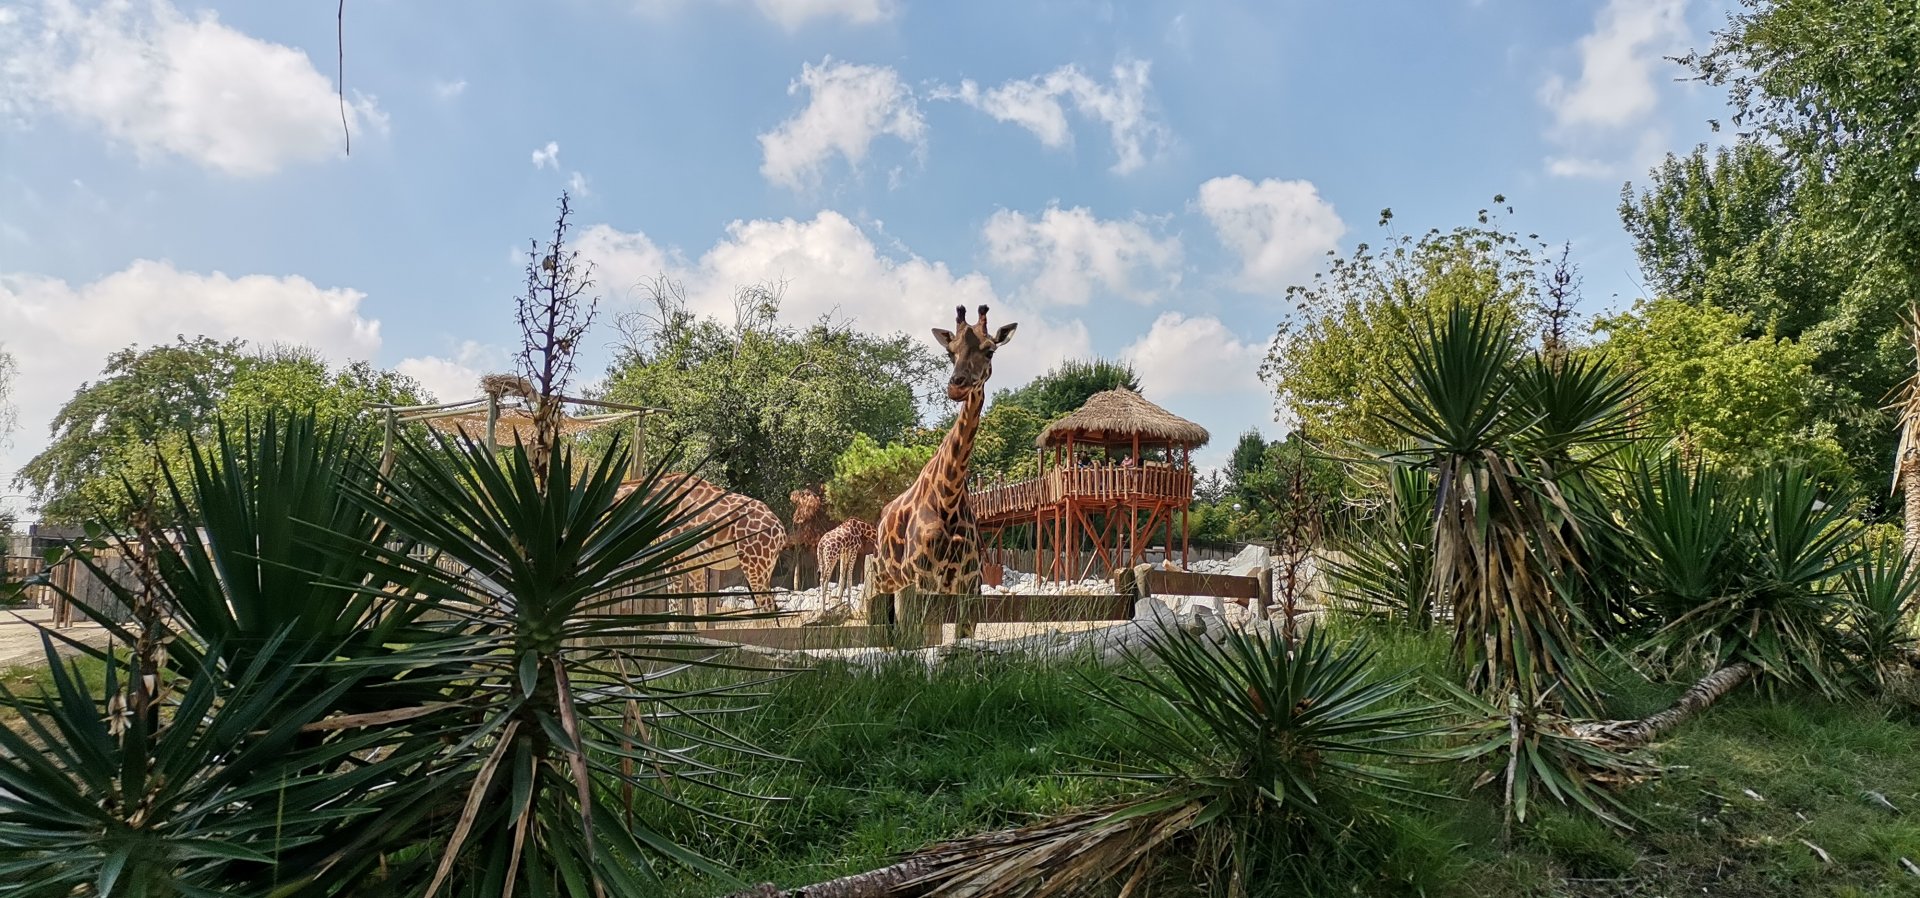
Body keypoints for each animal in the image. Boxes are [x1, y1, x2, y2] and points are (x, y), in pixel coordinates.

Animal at [616, 473, 787, 613]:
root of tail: (780, 529)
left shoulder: (673, 560)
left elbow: (675, 608)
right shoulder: (695, 565)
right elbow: (700, 610)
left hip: (754, 566)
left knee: (767, 608)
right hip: (765, 568)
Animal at [872, 305, 1017, 601]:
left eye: (990, 350)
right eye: (950, 352)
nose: (957, 386)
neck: (948, 495)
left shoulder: (970, 582)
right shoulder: (922, 578)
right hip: (885, 580)